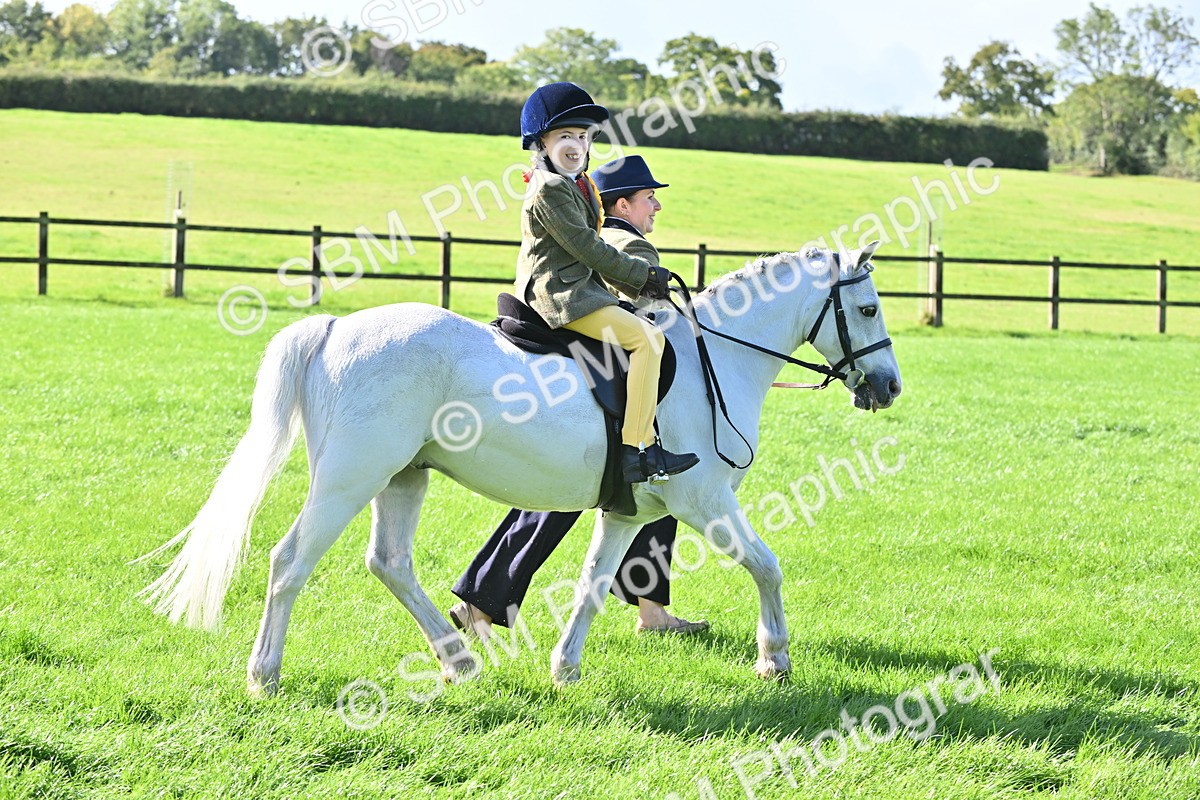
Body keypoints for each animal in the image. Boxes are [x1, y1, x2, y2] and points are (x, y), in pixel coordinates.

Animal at [139, 241, 902, 694]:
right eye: (866, 307)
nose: (889, 387)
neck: (713, 357)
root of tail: (333, 329)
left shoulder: (630, 512)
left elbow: (593, 584)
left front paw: (566, 668)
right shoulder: (704, 501)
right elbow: (768, 567)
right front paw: (775, 658)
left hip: (403, 477)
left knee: (389, 562)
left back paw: (458, 658)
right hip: (350, 480)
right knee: (290, 561)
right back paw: (265, 675)